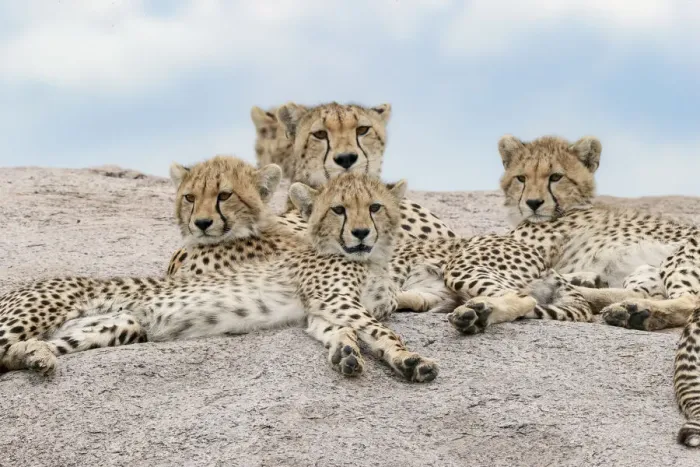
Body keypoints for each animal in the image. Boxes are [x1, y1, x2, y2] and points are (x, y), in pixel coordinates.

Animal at [0, 171, 438, 383]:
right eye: (339, 210)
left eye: (375, 207)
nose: (361, 233)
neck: (372, 259)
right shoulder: (335, 300)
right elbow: (382, 330)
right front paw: (411, 358)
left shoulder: (323, 309)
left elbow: (341, 331)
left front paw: (347, 352)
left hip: (117, 326)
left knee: (14, 354)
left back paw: (37, 356)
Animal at [495, 133, 700, 447]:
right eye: (521, 177)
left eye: (556, 177)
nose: (533, 203)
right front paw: (585, 279)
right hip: (648, 269)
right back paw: (618, 306)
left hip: (680, 256)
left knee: (689, 299)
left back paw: (632, 312)